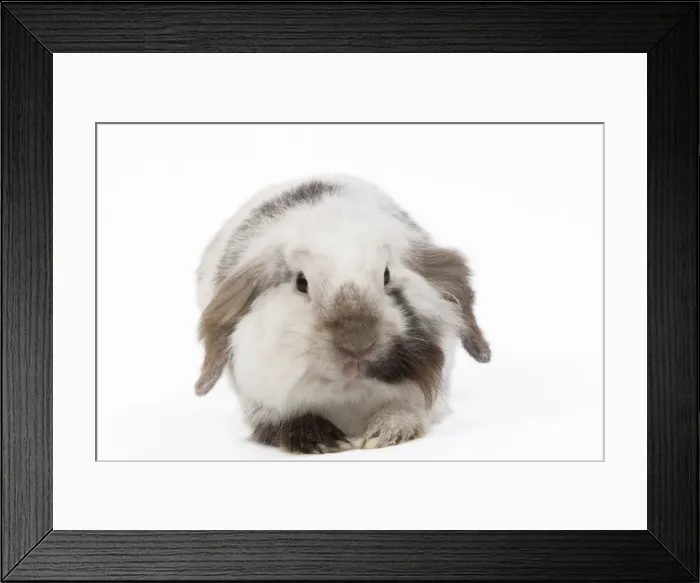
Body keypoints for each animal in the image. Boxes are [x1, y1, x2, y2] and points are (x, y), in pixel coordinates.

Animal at [195, 173, 490, 454]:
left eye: (387, 275)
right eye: (301, 282)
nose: (357, 344)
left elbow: (406, 409)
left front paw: (384, 433)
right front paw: (325, 442)